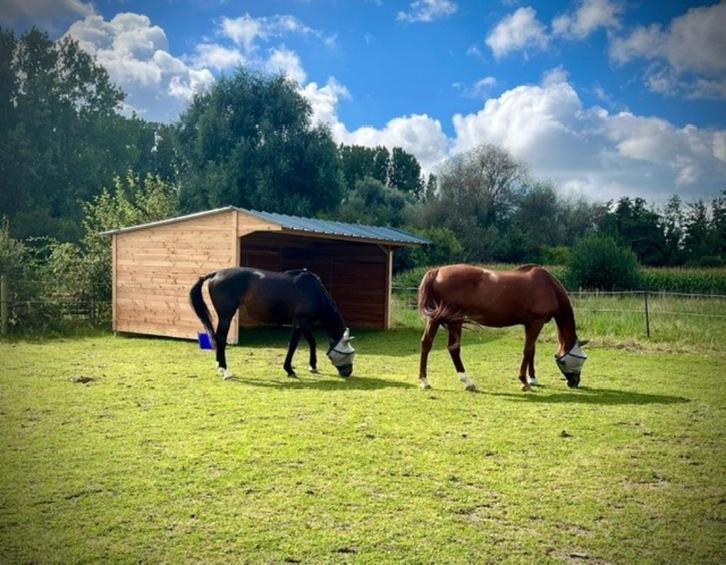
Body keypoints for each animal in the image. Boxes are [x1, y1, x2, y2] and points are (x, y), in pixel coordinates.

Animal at [189, 267, 355, 380]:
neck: (313, 291)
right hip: (226, 316)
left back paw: (220, 366)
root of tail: (216, 274)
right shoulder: (300, 322)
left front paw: (312, 366)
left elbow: (312, 342)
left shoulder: (305, 323)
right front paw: (289, 370)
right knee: (221, 339)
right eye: (347, 353)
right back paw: (225, 370)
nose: (348, 372)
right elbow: (293, 345)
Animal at [417, 264, 587, 392]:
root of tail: (436, 271)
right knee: (453, 348)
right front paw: (524, 382)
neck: (548, 286)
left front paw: (533, 379)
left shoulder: (529, 324)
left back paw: (425, 381)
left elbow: (532, 350)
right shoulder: (536, 323)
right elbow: (528, 350)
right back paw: (467, 381)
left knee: (426, 344)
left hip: (435, 319)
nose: (574, 382)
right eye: (565, 362)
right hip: (454, 321)